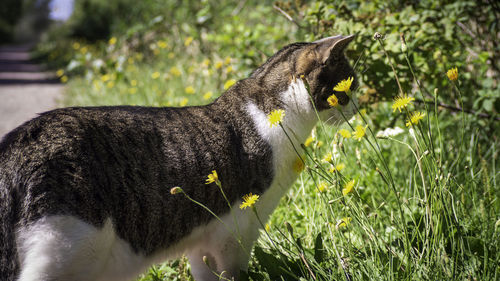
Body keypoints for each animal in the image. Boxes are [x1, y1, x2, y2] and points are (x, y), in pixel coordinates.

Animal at [0, 35, 360, 280]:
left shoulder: (203, 241)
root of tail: (16, 147)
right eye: (349, 86)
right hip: (66, 248)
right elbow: (233, 273)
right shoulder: (236, 232)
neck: (274, 109)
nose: (357, 107)